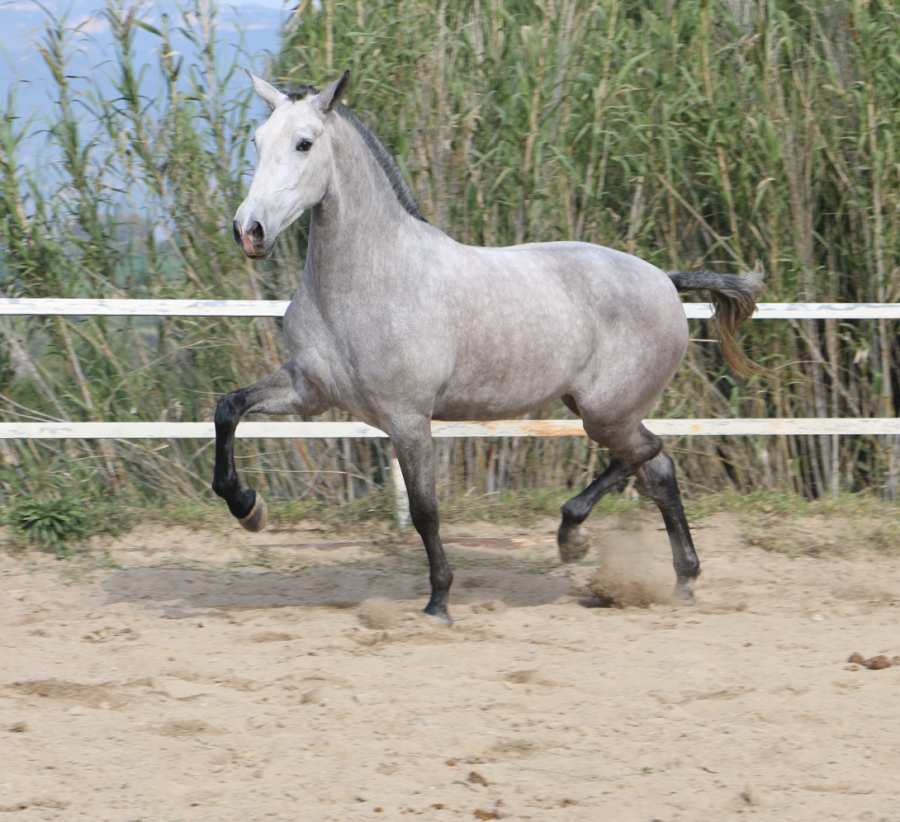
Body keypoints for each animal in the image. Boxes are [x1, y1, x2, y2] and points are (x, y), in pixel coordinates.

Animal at [213, 70, 764, 625]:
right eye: (258, 140)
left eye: (304, 143)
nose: (249, 231)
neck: (369, 281)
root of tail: (665, 280)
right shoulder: (310, 391)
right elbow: (229, 408)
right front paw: (248, 507)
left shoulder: (407, 418)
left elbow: (425, 511)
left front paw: (438, 602)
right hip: (601, 410)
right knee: (658, 470)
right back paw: (681, 579)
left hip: (605, 412)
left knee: (650, 455)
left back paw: (574, 537)